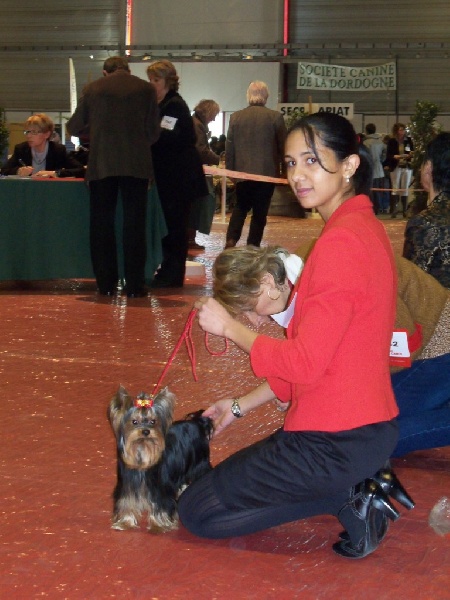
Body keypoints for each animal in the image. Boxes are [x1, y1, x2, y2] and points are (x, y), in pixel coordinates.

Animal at [108, 385, 213, 532]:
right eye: (134, 422)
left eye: (153, 421)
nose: (146, 431)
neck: (142, 451)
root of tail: (197, 423)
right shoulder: (127, 485)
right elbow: (126, 502)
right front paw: (125, 522)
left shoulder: (160, 488)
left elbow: (161, 505)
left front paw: (159, 525)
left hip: (200, 464)